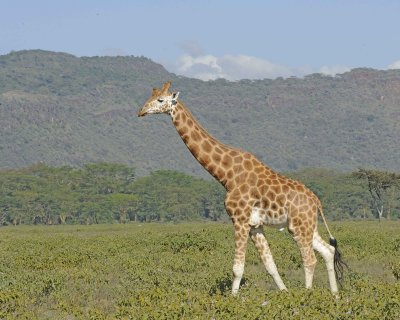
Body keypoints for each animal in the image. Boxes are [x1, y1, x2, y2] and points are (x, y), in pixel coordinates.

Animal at [137, 80, 344, 296]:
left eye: (161, 100)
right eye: (151, 96)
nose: (141, 111)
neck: (226, 175)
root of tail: (316, 201)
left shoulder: (239, 219)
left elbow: (237, 268)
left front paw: (233, 298)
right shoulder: (254, 225)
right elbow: (270, 265)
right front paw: (284, 293)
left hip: (298, 226)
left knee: (310, 259)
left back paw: (307, 294)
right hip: (307, 225)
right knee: (328, 251)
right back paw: (335, 296)